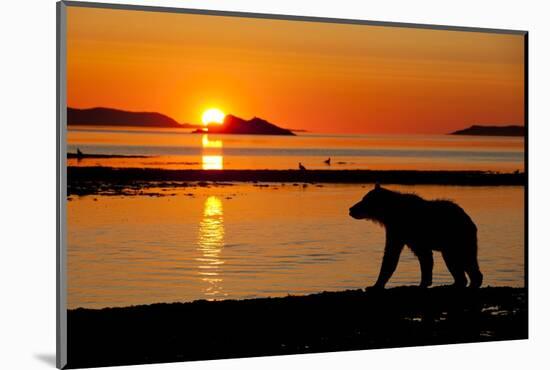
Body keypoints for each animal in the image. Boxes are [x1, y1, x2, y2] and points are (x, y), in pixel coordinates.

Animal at [352, 184, 486, 290]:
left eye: (364, 200)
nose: (351, 209)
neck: (390, 213)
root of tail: (469, 219)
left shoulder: (404, 230)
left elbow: (394, 255)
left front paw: (375, 286)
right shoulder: (399, 232)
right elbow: (397, 254)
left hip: (457, 237)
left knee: (462, 258)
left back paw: (468, 283)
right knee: (464, 260)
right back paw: (460, 283)